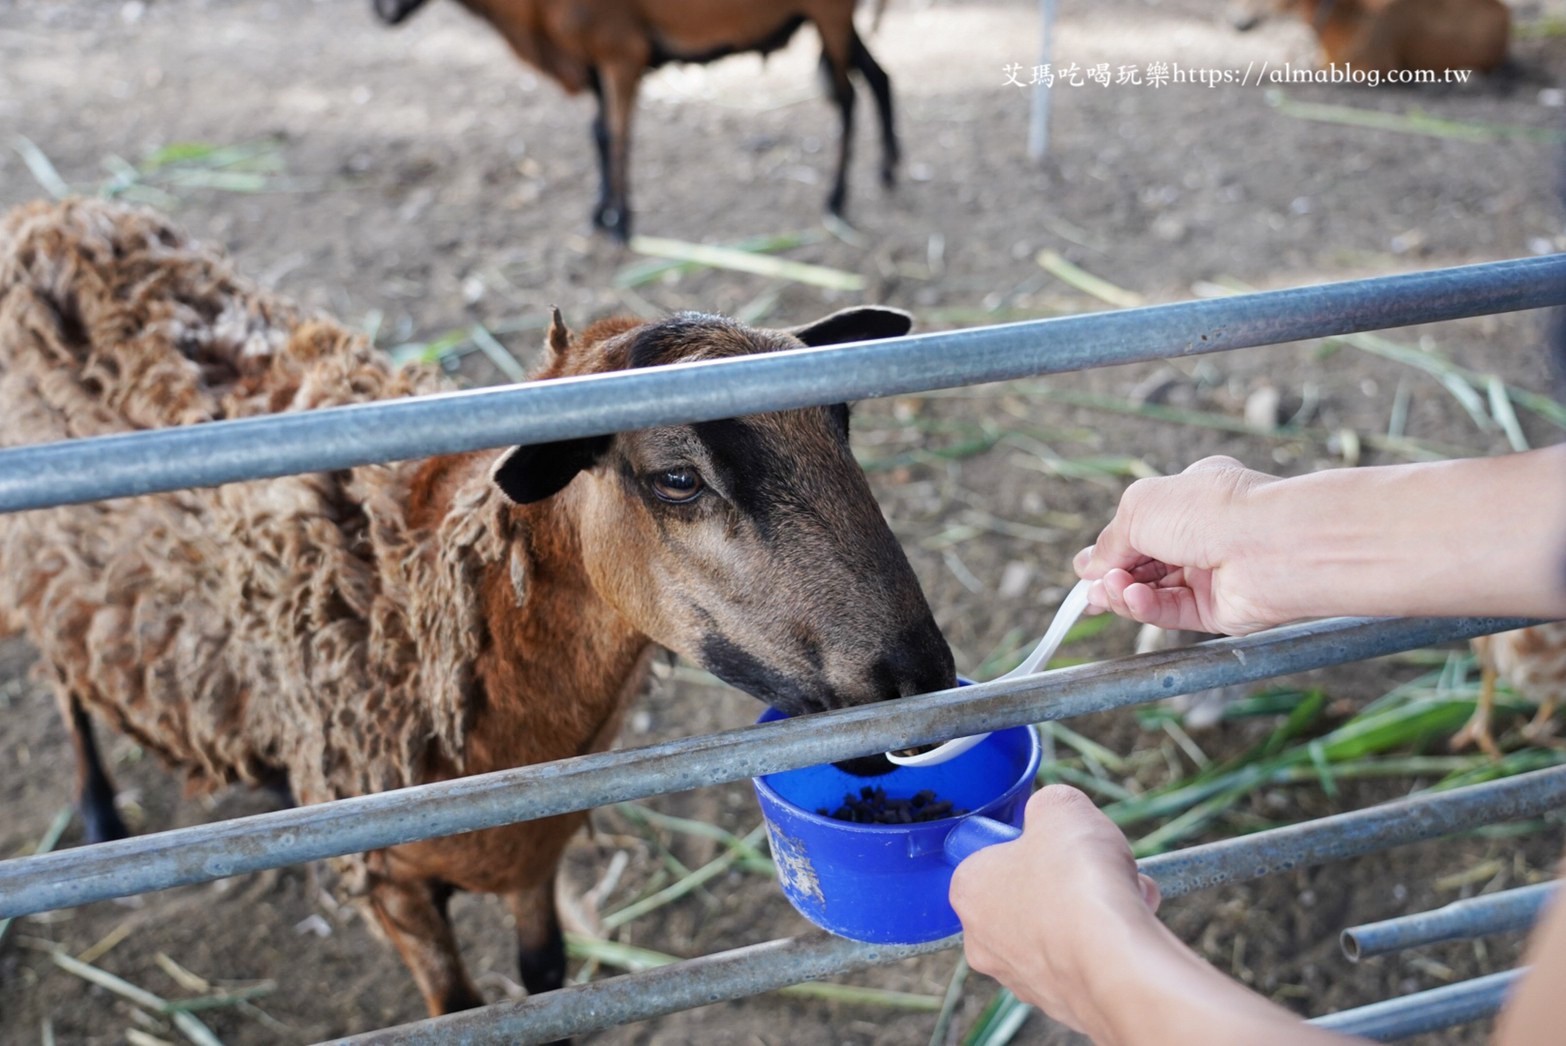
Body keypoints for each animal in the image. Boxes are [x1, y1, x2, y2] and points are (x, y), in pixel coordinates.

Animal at [0, 194, 952, 1014]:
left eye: (844, 426)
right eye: (678, 479)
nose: (921, 679)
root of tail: (52, 212)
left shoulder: (537, 854)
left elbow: (544, 979)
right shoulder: (395, 890)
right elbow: (458, 1008)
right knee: (61, 675)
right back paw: (98, 807)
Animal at [371, 0, 902, 239]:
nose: (380, 11)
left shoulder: (621, 53)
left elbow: (619, 134)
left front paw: (621, 222)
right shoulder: (596, 61)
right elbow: (599, 134)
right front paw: (601, 213)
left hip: (830, 14)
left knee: (848, 97)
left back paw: (836, 199)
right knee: (879, 78)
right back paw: (888, 169)